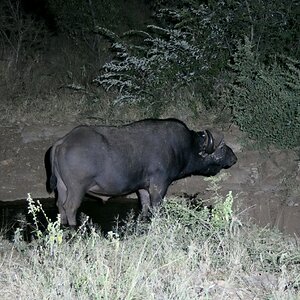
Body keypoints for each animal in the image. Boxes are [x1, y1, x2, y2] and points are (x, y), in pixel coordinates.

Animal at [44, 118, 237, 226]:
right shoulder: (159, 186)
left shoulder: (143, 189)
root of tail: (63, 141)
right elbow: (156, 207)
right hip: (77, 189)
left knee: (60, 205)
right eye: (221, 148)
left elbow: (145, 207)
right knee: (70, 207)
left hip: (62, 187)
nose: (234, 158)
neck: (185, 147)